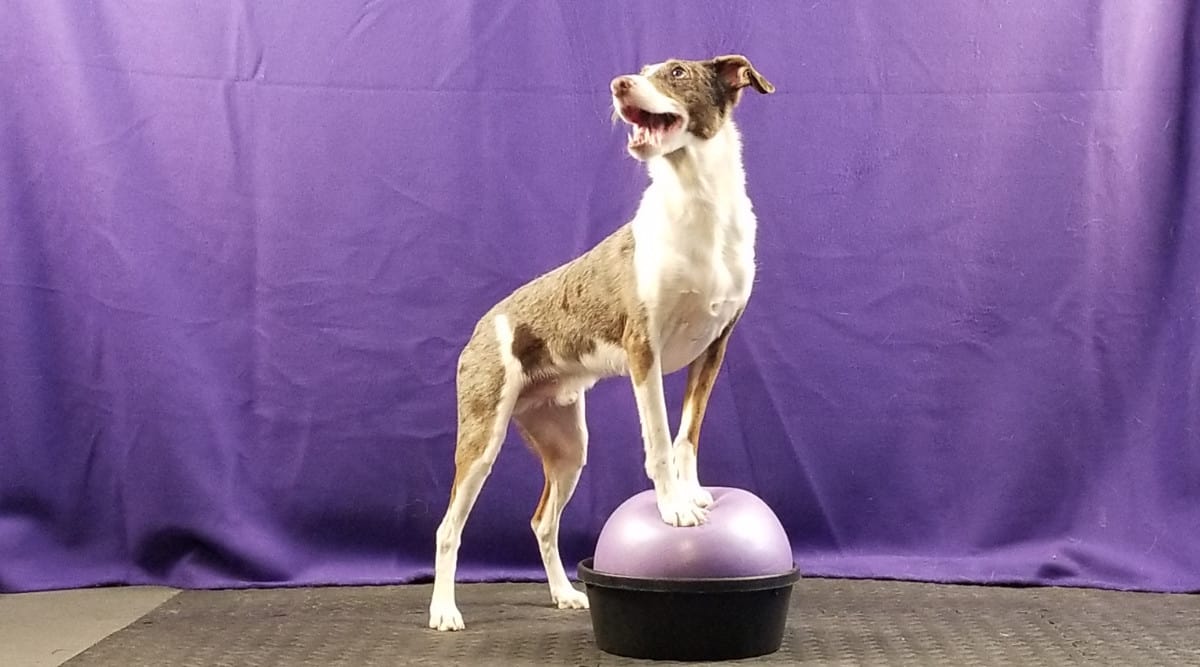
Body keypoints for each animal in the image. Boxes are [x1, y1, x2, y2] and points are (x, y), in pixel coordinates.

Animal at [427, 53, 772, 628]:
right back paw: (444, 611)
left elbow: (687, 436)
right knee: (448, 529)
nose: (618, 84)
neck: (696, 206)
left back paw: (565, 594)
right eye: (643, 69)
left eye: (676, 72)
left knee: (543, 521)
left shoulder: (714, 347)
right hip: (480, 441)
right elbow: (659, 442)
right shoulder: (642, 350)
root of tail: (484, 324)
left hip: (568, 447)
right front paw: (673, 508)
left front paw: (695, 494)